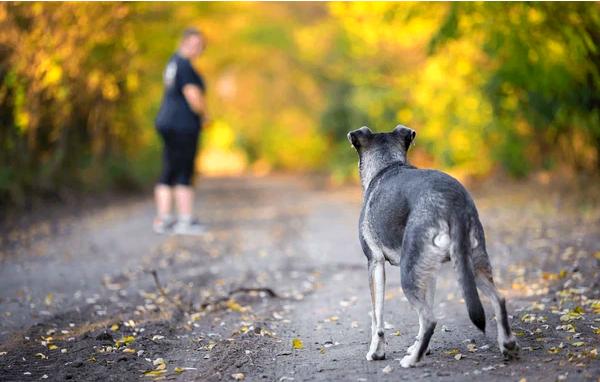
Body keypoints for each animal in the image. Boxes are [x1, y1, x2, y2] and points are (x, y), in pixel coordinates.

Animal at [346, 125, 520, 368]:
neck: (387, 164)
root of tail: (452, 202)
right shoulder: (429, 270)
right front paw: (421, 347)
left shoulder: (375, 262)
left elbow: (377, 317)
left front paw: (377, 352)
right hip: (471, 263)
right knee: (499, 298)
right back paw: (508, 345)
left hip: (408, 273)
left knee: (430, 318)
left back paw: (412, 361)